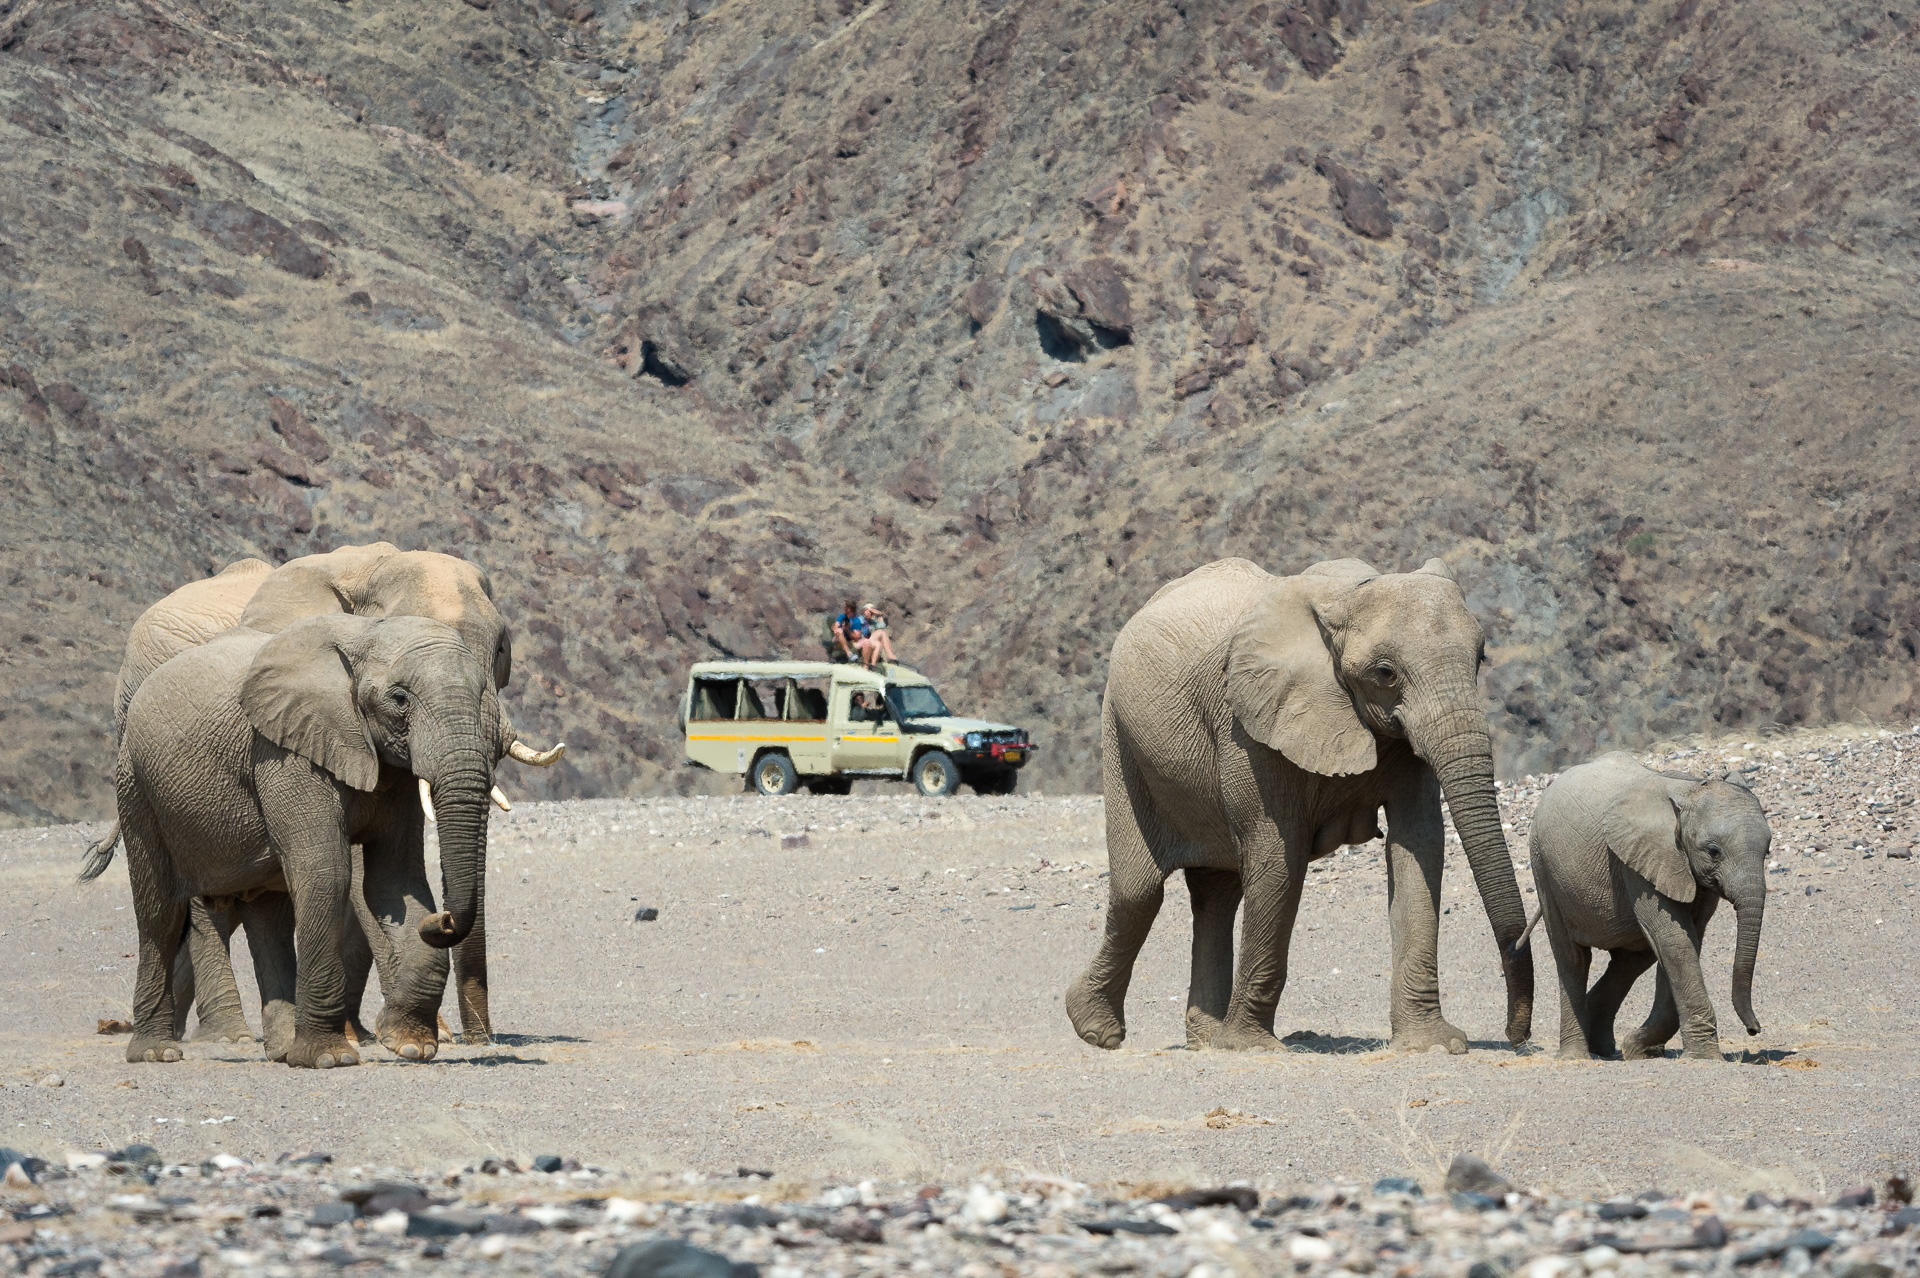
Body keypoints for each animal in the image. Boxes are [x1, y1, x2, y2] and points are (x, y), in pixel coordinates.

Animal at [84, 541, 560, 1051]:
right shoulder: (297, 740)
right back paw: (223, 1037)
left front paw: (387, 1033)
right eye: (400, 697)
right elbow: (348, 876)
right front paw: (394, 1036)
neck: (374, 568)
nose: (480, 1039)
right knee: (192, 899)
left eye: (501, 650)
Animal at [1075, 560, 1536, 1051]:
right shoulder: (1249, 723)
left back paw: (1207, 1040)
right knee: (1140, 892)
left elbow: (1418, 846)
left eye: (1480, 658)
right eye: (1386, 673)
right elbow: (1279, 857)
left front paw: (1431, 1045)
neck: (1345, 597)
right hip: (1120, 737)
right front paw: (1251, 1049)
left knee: (1215, 895)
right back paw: (1097, 1031)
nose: (1517, 1035)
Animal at [1520, 752, 1774, 1059]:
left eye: (1768, 849)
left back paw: (1605, 1048)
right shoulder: (1639, 859)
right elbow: (1674, 940)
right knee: (1573, 958)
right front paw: (1702, 1057)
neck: (1689, 790)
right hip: (1544, 867)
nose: (1754, 1029)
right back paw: (1576, 1056)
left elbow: (1685, 941)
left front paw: (1638, 1049)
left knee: (1631, 960)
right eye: (1713, 851)